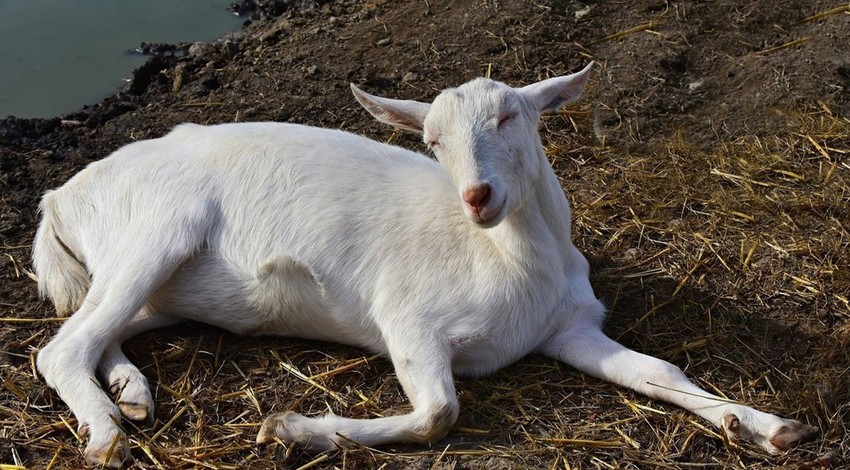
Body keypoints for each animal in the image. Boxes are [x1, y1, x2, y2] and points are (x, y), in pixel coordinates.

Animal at [33, 64, 816, 468]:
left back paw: (131, 391)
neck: (510, 259)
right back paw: (106, 432)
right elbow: (440, 411)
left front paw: (764, 425)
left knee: (102, 328)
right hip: (155, 229)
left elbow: (662, 371)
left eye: (510, 116)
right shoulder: (407, 319)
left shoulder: (570, 327)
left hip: (162, 281)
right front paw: (292, 428)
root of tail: (61, 194)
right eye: (432, 140)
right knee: (59, 347)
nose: (477, 196)